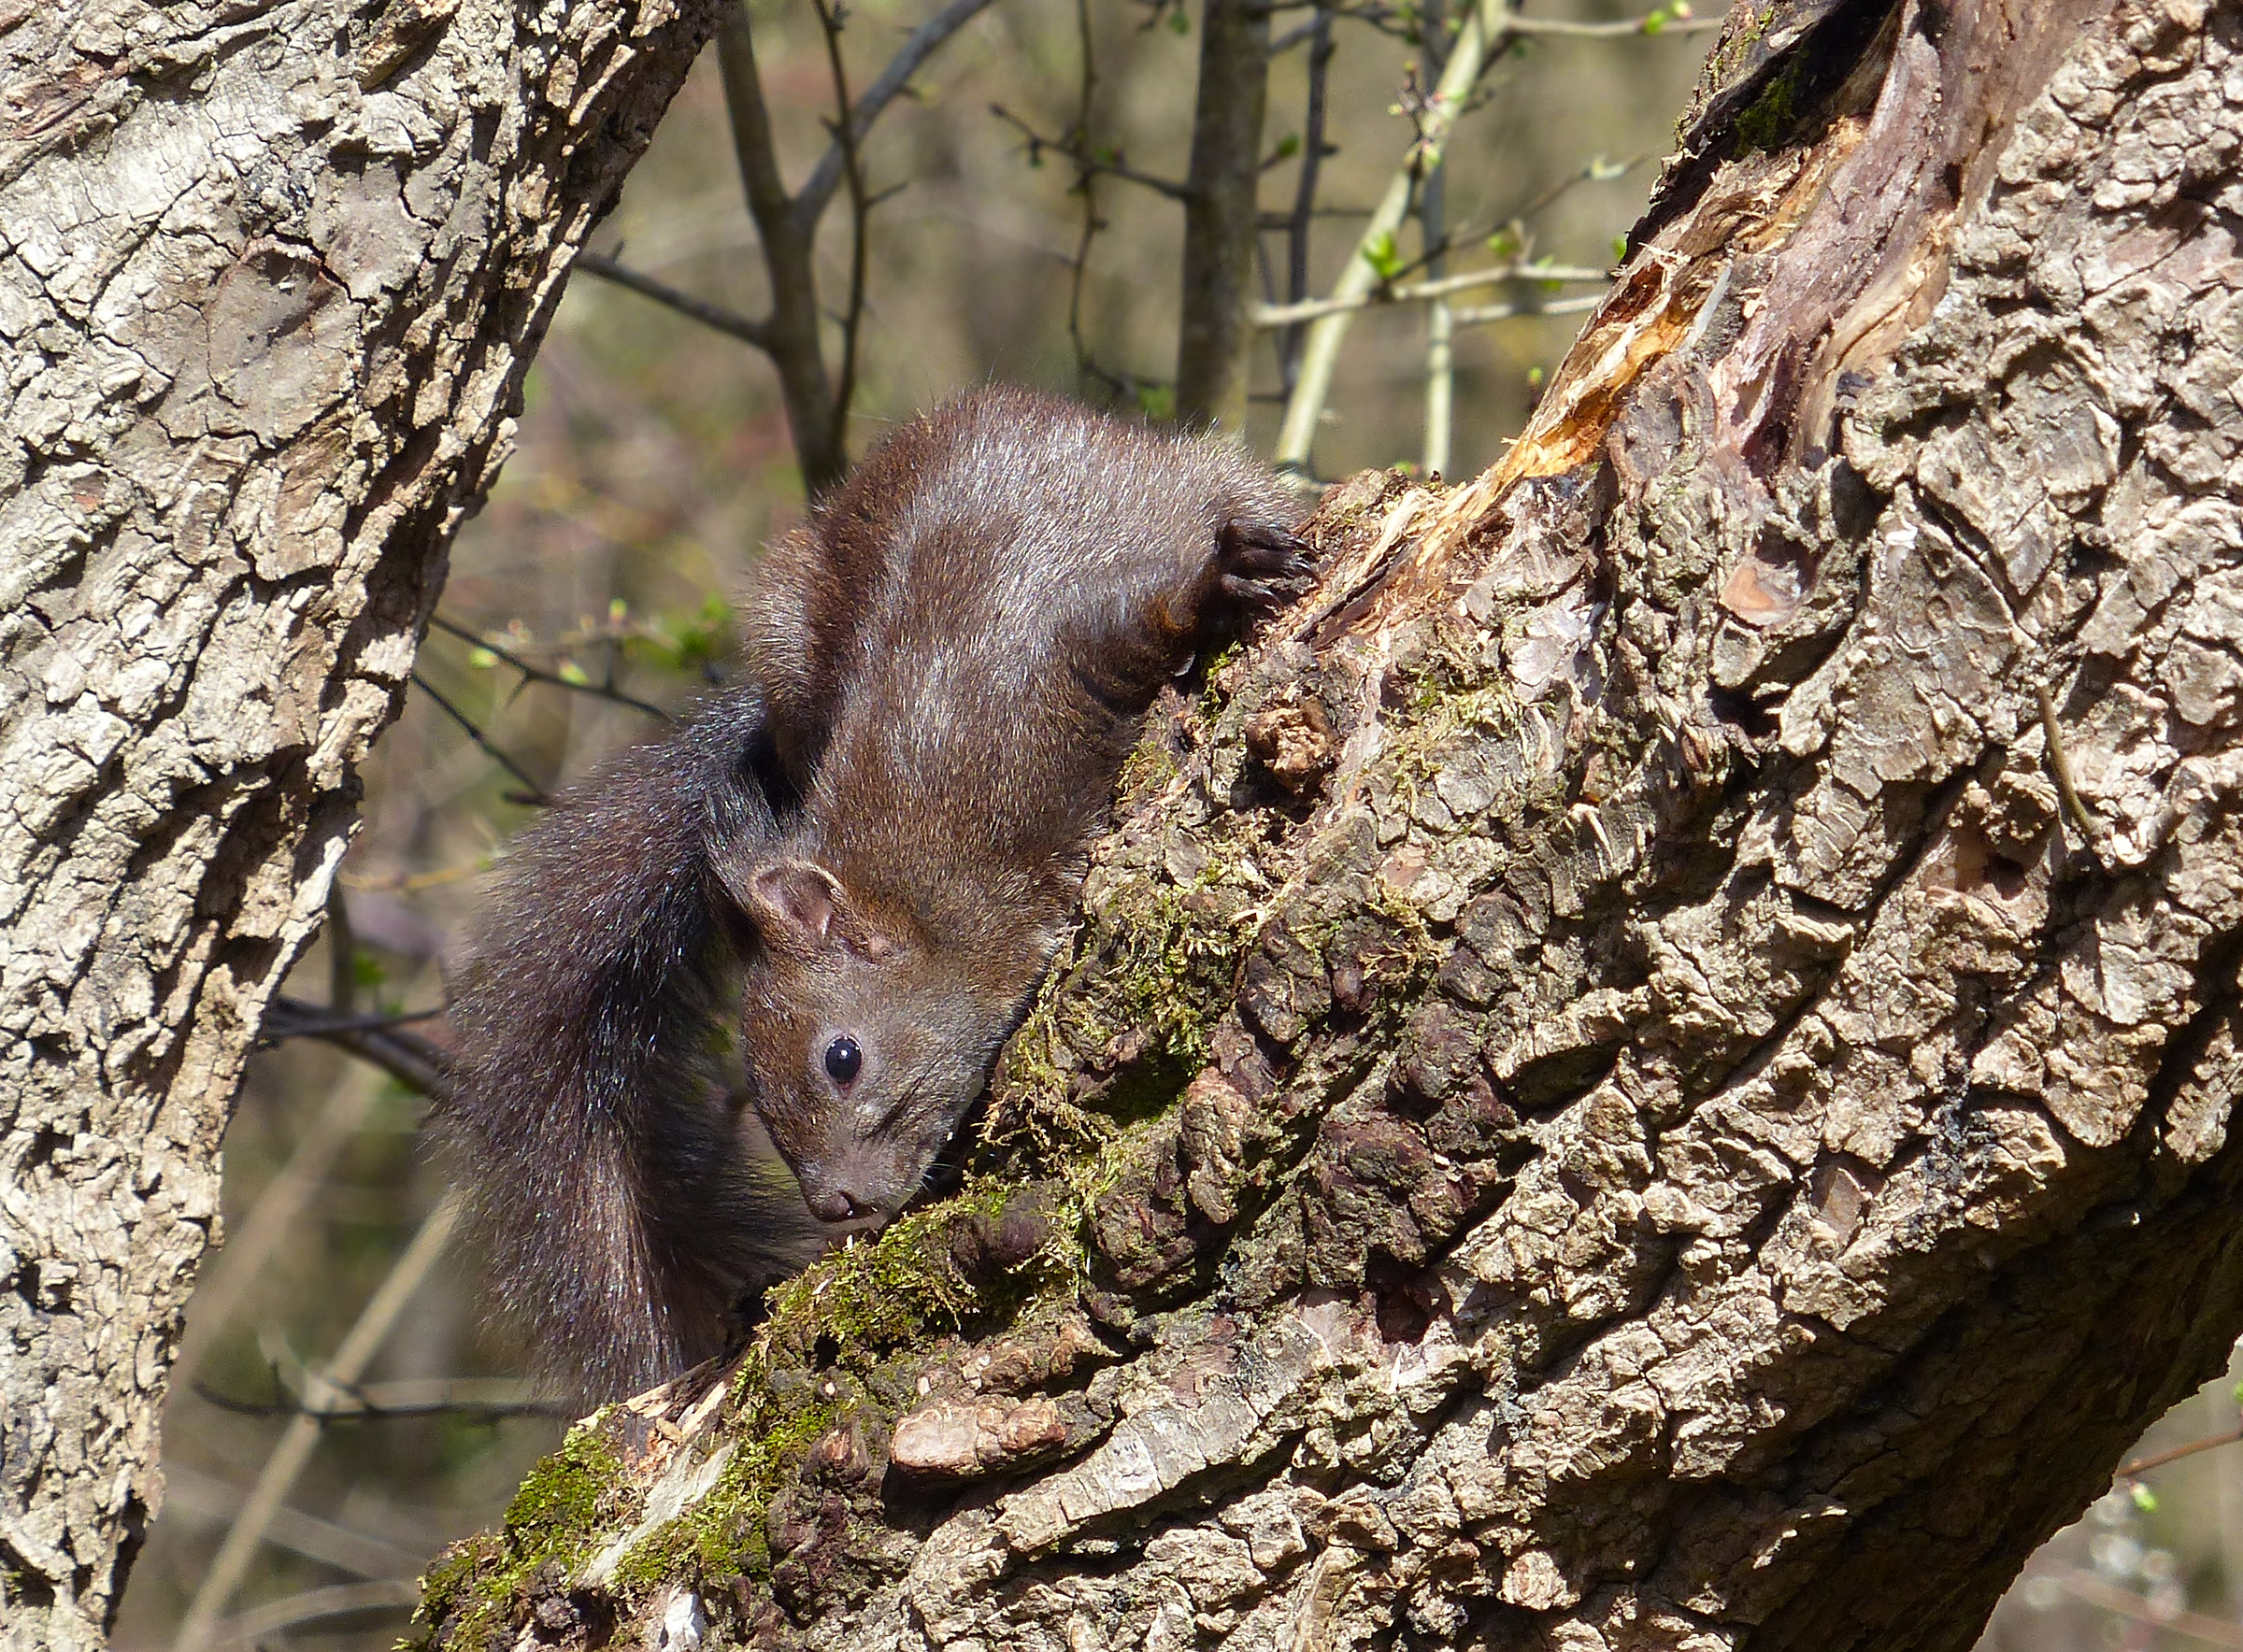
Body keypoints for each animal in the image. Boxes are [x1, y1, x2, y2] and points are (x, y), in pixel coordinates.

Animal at [439, 386, 1307, 1401]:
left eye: (842, 1059)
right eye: (758, 1094)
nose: (834, 1202)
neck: (930, 876)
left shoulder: (1053, 654)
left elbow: (1151, 614)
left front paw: (1226, 581)